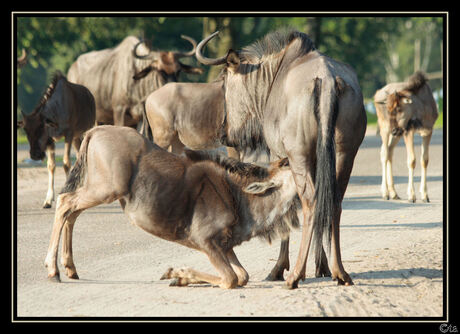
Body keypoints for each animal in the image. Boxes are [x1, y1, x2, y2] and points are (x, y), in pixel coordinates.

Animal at [45, 126, 300, 290]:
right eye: (287, 164)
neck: (239, 197)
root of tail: (93, 131)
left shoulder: (225, 246)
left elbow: (242, 276)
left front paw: (179, 277)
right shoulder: (206, 241)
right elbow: (231, 279)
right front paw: (178, 273)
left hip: (97, 188)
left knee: (72, 213)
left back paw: (70, 268)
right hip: (106, 189)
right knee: (65, 202)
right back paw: (53, 270)